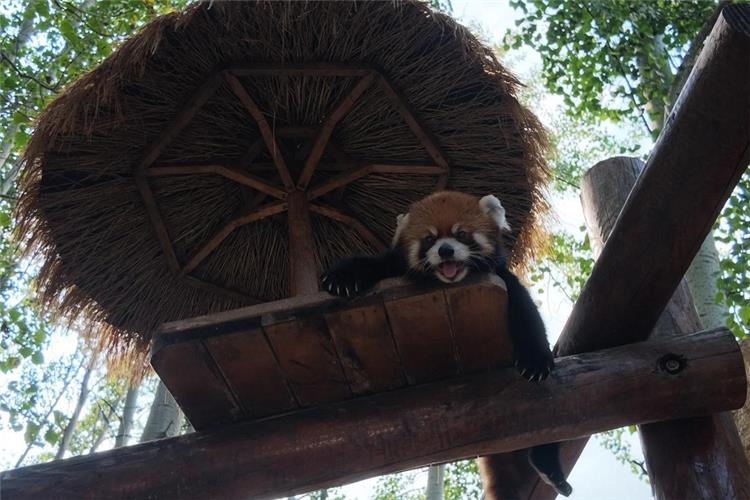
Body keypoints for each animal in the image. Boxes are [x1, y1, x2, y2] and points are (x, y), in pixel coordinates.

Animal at [320, 191, 572, 497]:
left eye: (461, 234)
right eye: (429, 239)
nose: (446, 251)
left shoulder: (503, 278)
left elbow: (526, 312)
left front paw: (536, 360)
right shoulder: (393, 265)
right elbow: (372, 263)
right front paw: (342, 276)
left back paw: (551, 470)